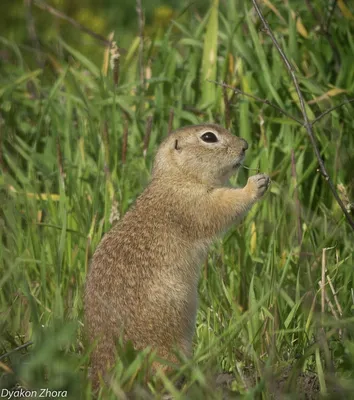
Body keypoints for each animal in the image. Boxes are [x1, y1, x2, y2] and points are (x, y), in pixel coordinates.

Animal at [83, 123, 272, 390]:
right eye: (208, 137)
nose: (245, 145)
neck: (176, 177)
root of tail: (104, 371)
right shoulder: (193, 203)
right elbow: (222, 206)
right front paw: (255, 184)